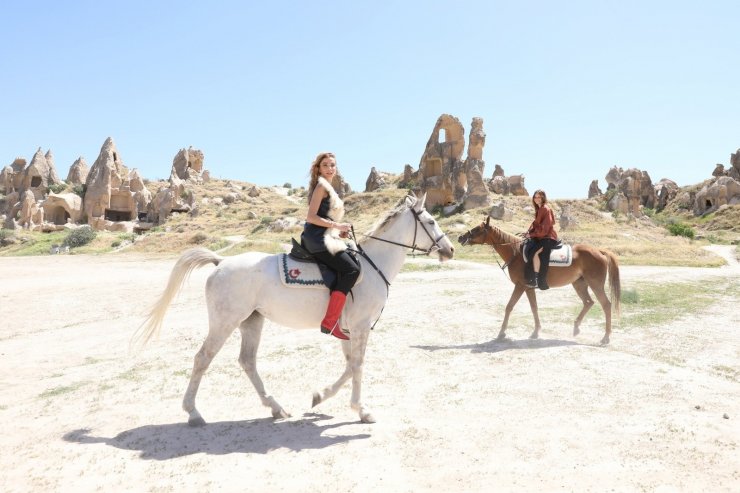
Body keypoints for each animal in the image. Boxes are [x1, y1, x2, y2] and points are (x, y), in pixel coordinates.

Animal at [135, 192, 454, 422]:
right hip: (225, 322)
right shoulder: (361, 326)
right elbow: (358, 365)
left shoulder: (348, 330)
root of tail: (221, 261)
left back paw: (275, 407)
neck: (372, 265)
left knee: (247, 361)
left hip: (252, 321)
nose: (450, 250)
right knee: (203, 358)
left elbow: (350, 364)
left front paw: (321, 396)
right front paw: (360, 409)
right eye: (430, 222)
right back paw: (193, 412)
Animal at [456, 217, 620, 344]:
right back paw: (576, 328)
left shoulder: (520, 286)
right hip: (579, 284)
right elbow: (534, 308)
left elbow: (509, 307)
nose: (461, 238)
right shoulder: (529, 288)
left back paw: (605, 338)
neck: (516, 253)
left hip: (595, 284)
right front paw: (535, 332)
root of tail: (599, 251)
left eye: (477, 229)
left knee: (606, 305)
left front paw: (501, 333)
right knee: (588, 302)